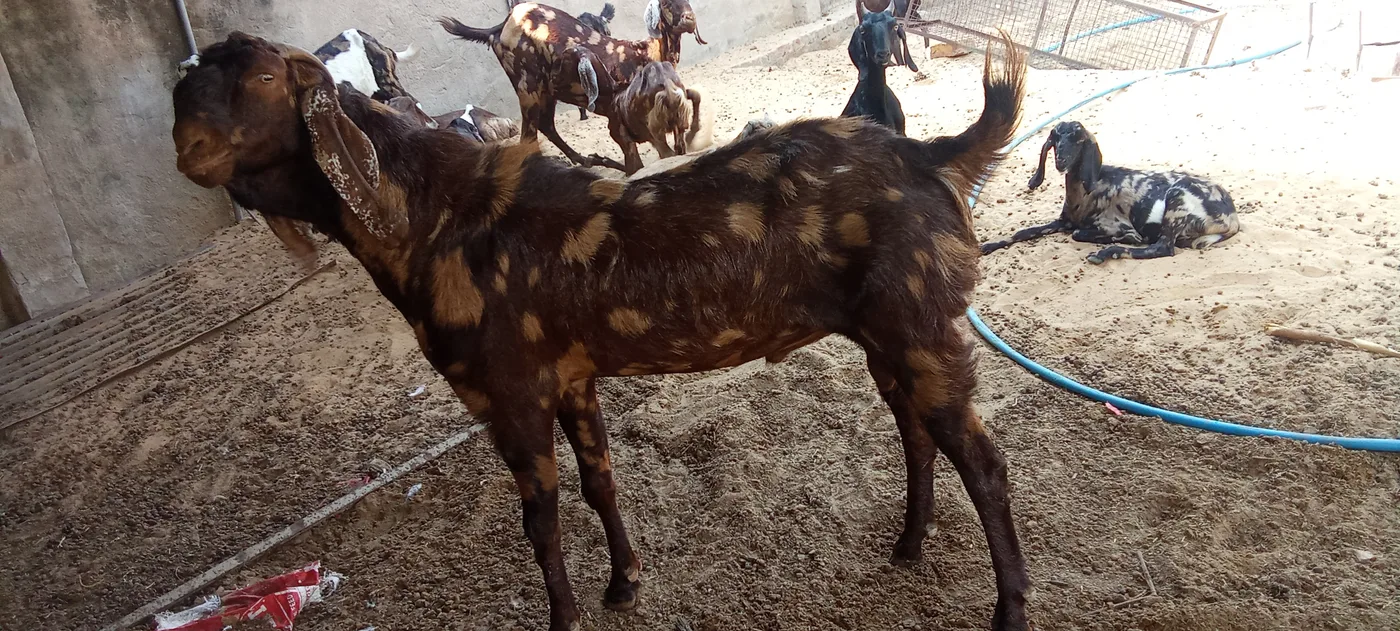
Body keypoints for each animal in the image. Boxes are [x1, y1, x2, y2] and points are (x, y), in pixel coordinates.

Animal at [171, 31, 1033, 631]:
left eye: (262, 77)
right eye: (188, 82)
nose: (189, 149)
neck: (433, 218)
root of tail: (939, 155)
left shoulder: (505, 392)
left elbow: (540, 517)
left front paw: (566, 614)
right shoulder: (572, 374)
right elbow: (601, 478)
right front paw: (625, 582)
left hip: (920, 325)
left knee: (987, 462)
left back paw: (1009, 608)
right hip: (891, 335)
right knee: (916, 434)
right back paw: (908, 543)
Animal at [439, 0, 706, 168]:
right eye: (666, 3)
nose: (689, 19)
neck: (647, 52)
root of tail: (496, 30)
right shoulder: (623, 114)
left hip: (547, 93)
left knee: (546, 126)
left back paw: (583, 161)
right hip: (528, 88)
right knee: (529, 137)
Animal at [981, 121, 1240, 263]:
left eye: (1079, 139)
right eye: (1055, 138)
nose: (1061, 160)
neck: (1088, 192)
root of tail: (1233, 219)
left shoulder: (1115, 225)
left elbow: (1079, 234)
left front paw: (1123, 239)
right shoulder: (1064, 221)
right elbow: (1023, 232)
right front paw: (989, 245)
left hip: (1178, 200)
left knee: (1163, 247)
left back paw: (1107, 252)